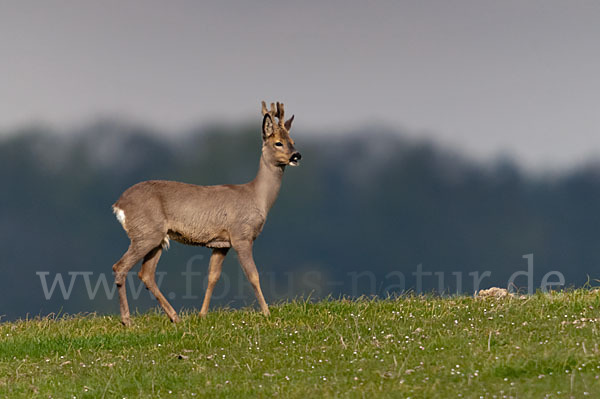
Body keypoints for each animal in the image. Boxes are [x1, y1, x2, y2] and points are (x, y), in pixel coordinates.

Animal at [109, 101, 300, 326]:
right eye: (278, 143)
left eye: (293, 141)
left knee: (146, 274)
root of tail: (118, 204)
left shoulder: (221, 244)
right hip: (146, 233)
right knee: (120, 267)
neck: (256, 197)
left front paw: (202, 314)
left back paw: (175, 317)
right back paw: (127, 321)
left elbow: (213, 277)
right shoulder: (241, 235)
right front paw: (267, 312)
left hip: (157, 238)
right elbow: (253, 275)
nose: (297, 155)